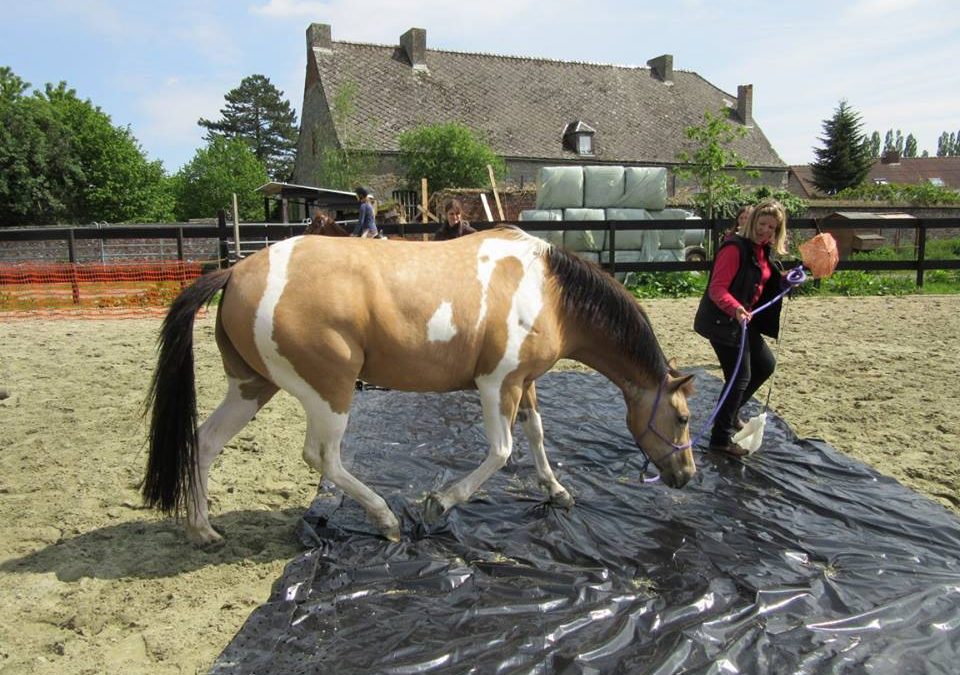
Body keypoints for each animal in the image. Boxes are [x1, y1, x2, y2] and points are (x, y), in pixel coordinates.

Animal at [142, 227, 692, 544]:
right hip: (330, 391)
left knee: (204, 442)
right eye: (683, 417)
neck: (550, 291)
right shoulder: (496, 385)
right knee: (323, 457)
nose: (686, 475)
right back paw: (386, 520)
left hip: (251, 387)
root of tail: (235, 271)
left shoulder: (523, 383)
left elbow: (536, 435)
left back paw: (203, 529)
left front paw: (557, 491)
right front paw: (438, 504)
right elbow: (501, 451)